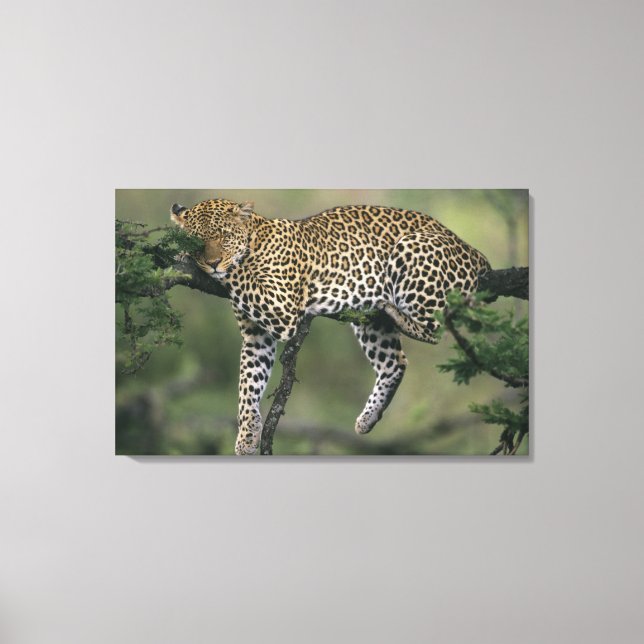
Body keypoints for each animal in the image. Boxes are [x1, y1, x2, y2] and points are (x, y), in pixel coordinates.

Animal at [170, 198, 490, 455]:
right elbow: (248, 385)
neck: (256, 240)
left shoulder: (280, 306)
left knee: (435, 328)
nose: (213, 263)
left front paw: (187, 259)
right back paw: (367, 419)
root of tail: (475, 251)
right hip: (369, 324)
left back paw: (393, 309)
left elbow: (240, 272)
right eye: (197, 241)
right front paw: (248, 435)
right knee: (395, 362)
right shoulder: (255, 336)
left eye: (223, 237)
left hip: (412, 248)